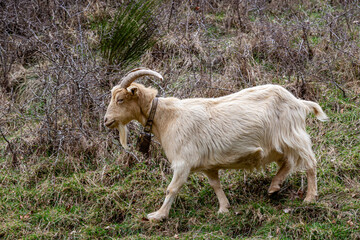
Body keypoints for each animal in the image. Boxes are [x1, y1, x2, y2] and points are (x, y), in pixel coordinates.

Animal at [103, 67, 330, 221]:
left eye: (120, 99)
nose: (106, 121)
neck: (166, 117)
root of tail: (299, 103)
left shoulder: (182, 163)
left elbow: (172, 189)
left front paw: (158, 215)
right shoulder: (208, 166)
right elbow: (215, 184)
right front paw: (224, 208)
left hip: (292, 135)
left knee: (310, 163)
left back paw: (310, 197)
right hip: (278, 144)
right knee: (288, 162)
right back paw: (274, 187)